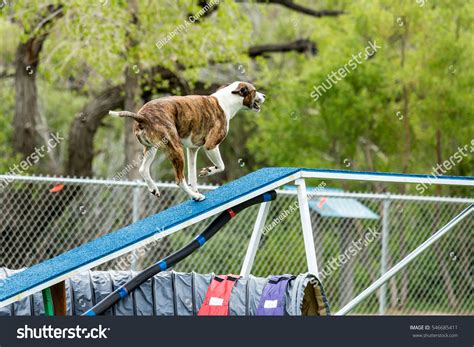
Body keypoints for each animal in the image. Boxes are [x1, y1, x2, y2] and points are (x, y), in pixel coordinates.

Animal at [111, 81, 266, 201]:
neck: (227, 100)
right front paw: (208, 172)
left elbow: (193, 177)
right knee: (179, 180)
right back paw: (195, 196)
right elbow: (221, 166)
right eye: (255, 91)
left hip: (152, 149)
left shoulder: (192, 150)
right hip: (176, 149)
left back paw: (155, 189)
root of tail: (142, 117)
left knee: (143, 169)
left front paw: (199, 183)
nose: (264, 96)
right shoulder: (211, 145)